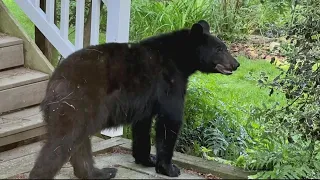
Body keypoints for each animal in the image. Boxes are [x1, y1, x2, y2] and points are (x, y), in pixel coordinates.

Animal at [28, 19, 239, 179]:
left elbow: (142, 127)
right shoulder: (169, 82)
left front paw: (146, 159)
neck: (180, 59)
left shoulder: (144, 101)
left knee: (79, 143)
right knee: (63, 142)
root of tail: (54, 81)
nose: (236, 64)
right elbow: (170, 120)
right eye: (219, 49)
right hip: (78, 103)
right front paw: (169, 168)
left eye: (224, 47)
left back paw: (100, 173)